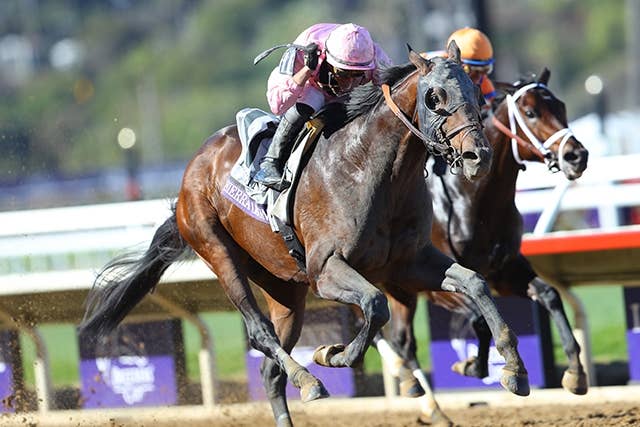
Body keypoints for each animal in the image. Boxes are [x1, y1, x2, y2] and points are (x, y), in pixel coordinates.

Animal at [80, 43, 529, 427]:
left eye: (474, 91)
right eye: (434, 97)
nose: (477, 156)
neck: (369, 169)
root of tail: (192, 171)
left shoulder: (410, 263)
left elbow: (475, 283)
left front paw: (514, 370)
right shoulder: (327, 270)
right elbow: (375, 305)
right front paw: (333, 354)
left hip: (284, 288)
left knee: (269, 368)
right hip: (218, 250)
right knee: (260, 332)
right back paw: (308, 378)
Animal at [375, 69, 589, 425]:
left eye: (560, 106)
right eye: (530, 112)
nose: (577, 155)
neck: (474, 198)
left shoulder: (504, 270)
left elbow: (549, 295)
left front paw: (575, 373)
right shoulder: (434, 282)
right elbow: (477, 320)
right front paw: (472, 365)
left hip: (399, 289)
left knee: (402, 340)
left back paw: (426, 401)